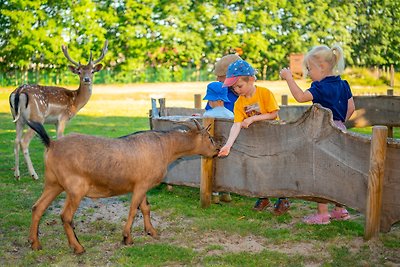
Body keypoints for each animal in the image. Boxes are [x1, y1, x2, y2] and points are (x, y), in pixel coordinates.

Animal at [9, 39, 108, 181]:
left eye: (92, 71)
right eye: (79, 72)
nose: (87, 79)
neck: (75, 102)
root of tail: (18, 92)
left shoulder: (55, 122)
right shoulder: (63, 118)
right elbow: (61, 137)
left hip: (17, 119)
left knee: (16, 140)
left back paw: (17, 174)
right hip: (36, 118)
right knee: (24, 141)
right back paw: (34, 175)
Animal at [26, 120, 219, 254]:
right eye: (209, 138)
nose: (217, 150)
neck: (165, 147)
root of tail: (52, 144)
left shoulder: (143, 185)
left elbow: (145, 208)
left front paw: (152, 232)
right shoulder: (141, 185)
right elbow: (133, 210)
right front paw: (127, 238)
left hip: (53, 184)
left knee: (37, 207)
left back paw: (35, 243)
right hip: (75, 189)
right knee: (65, 216)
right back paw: (78, 247)